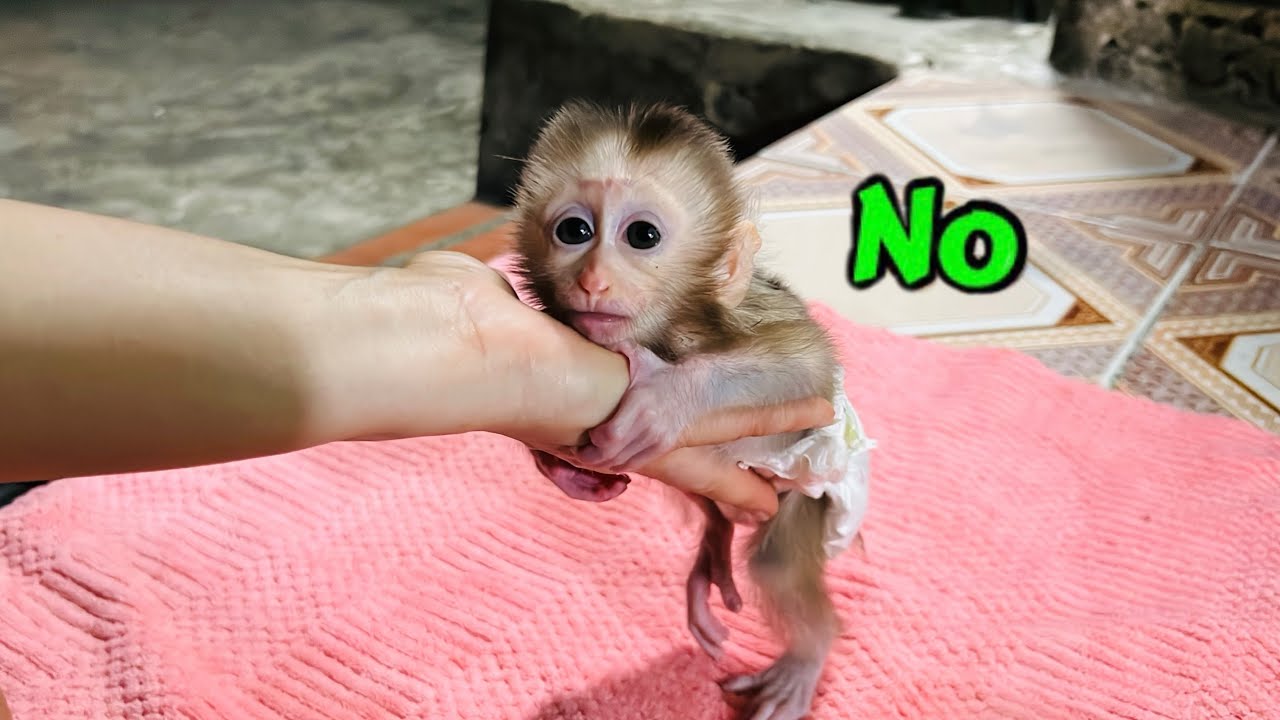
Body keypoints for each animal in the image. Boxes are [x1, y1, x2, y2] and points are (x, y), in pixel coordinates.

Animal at [509, 100, 873, 720]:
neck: (667, 332)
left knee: (776, 564)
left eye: (643, 235)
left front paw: (665, 399)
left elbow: (809, 368)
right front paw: (564, 470)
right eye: (573, 231)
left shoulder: (752, 313)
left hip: (810, 496)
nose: (593, 280)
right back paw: (713, 542)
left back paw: (805, 659)